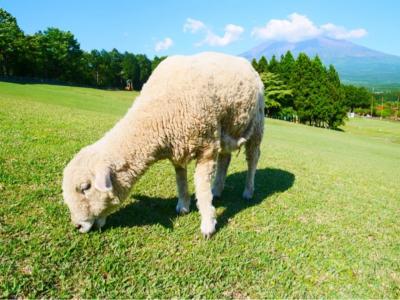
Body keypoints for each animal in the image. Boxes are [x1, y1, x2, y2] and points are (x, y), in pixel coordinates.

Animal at [62, 52, 264, 238]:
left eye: (85, 187)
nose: (77, 226)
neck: (158, 111)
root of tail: (245, 62)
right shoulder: (178, 148)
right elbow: (181, 179)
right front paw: (183, 205)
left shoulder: (207, 147)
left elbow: (201, 188)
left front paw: (208, 223)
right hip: (227, 128)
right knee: (225, 159)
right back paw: (217, 189)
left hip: (256, 125)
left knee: (253, 159)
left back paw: (248, 191)